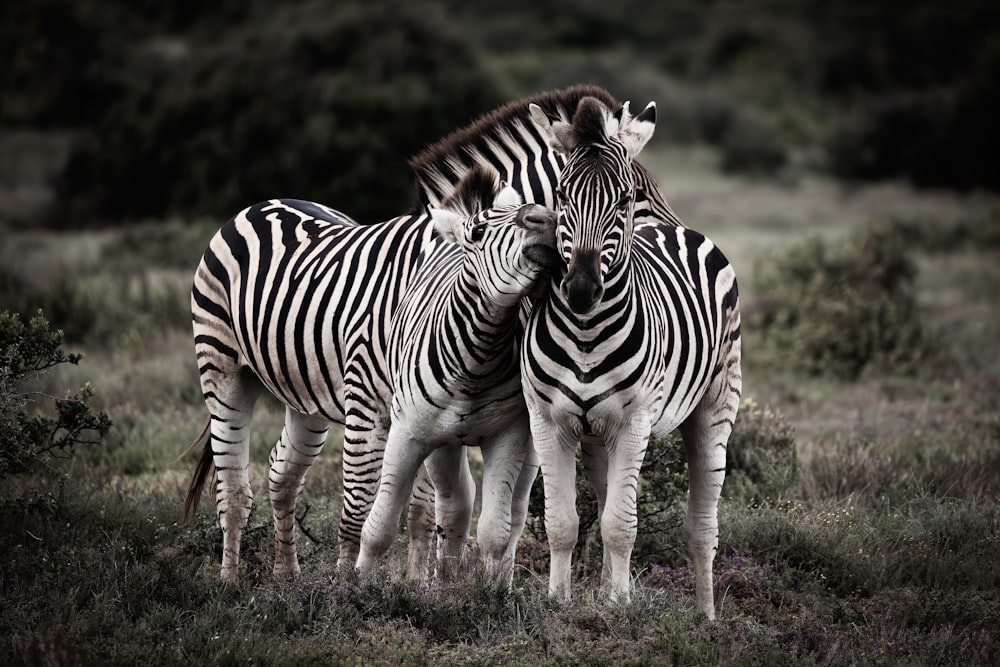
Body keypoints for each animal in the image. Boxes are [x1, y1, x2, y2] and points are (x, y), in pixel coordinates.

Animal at [183, 170, 520, 580]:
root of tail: (264, 203)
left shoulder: (427, 417)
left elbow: (422, 511)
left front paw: (416, 583)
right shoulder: (369, 403)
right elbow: (358, 505)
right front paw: (348, 584)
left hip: (305, 393)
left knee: (282, 473)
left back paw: (286, 573)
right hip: (222, 366)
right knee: (232, 489)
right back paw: (229, 580)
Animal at [356, 167, 560, 584]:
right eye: (478, 232)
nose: (544, 218)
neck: (475, 364)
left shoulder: (510, 435)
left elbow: (496, 530)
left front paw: (492, 592)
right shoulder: (408, 433)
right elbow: (379, 526)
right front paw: (355, 586)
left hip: (531, 441)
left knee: (513, 515)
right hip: (442, 442)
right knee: (454, 505)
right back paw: (445, 580)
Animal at [524, 95, 744, 620]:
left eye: (622, 199)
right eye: (560, 195)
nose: (581, 290)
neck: (585, 331)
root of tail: (666, 227)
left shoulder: (634, 421)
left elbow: (621, 525)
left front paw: (621, 608)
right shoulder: (548, 421)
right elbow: (564, 521)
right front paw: (561, 602)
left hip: (716, 404)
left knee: (702, 524)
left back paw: (706, 617)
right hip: (597, 434)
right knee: (606, 500)